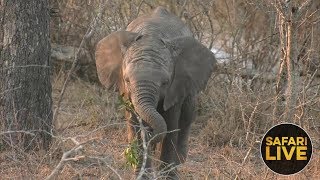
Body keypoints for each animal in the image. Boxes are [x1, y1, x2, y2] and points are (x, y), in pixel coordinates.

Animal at [94, 6, 215, 179]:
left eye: (165, 82)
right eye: (127, 80)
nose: (150, 131)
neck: (151, 35)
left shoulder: (175, 87)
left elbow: (171, 124)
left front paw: (167, 176)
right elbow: (135, 123)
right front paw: (142, 174)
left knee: (187, 116)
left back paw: (179, 160)